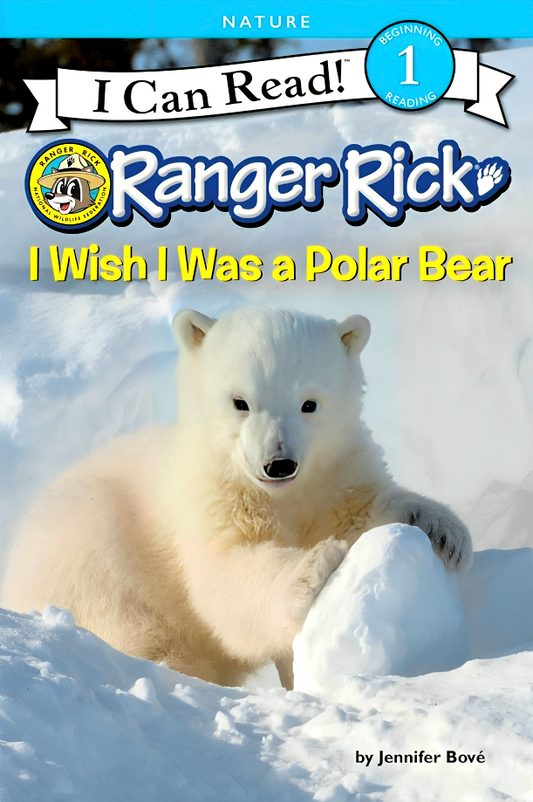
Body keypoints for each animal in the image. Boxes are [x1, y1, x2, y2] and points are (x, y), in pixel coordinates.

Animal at [0, 308, 472, 689]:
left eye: (309, 403)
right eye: (240, 402)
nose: (279, 464)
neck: (278, 495)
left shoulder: (333, 474)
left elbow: (361, 508)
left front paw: (443, 531)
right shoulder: (209, 496)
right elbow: (227, 575)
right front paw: (315, 564)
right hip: (83, 548)